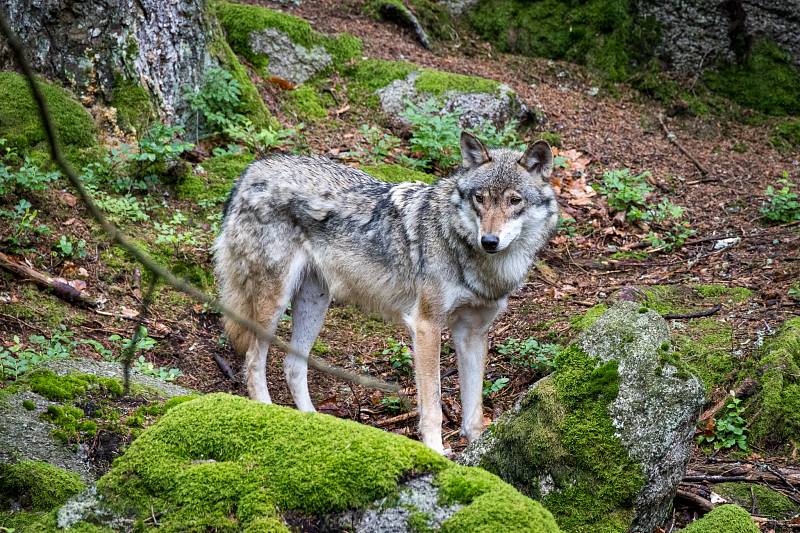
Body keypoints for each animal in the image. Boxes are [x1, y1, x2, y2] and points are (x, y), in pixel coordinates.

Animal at [216, 133, 560, 454]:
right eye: (480, 198)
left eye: (514, 201)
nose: (489, 240)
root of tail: (252, 170)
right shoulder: (426, 326)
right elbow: (432, 405)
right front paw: (436, 452)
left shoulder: (472, 333)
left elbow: (473, 411)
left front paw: (478, 454)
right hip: (274, 303)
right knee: (253, 361)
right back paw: (268, 413)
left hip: (315, 303)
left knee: (292, 365)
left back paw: (315, 423)